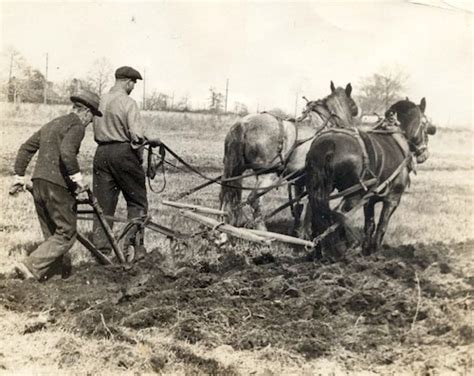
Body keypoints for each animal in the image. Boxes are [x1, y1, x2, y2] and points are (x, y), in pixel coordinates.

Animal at [306, 97, 436, 258]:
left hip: (322, 188)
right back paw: (346, 246)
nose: (425, 154)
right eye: (425, 124)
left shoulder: (369, 200)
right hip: (354, 193)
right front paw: (375, 250)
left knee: (318, 215)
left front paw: (366, 250)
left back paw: (318, 252)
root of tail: (328, 143)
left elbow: (370, 225)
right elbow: (382, 225)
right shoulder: (393, 198)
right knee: (339, 213)